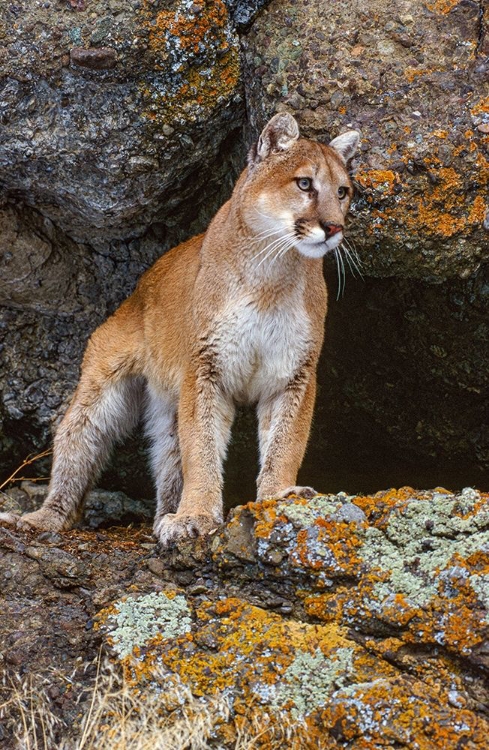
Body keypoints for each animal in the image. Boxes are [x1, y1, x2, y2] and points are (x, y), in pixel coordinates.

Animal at [0, 113, 358, 548]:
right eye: (305, 183)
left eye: (342, 191)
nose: (334, 227)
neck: (271, 274)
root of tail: (139, 287)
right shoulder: (205, 368)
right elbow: (201, 447)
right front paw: (197, 516)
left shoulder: (293, 373)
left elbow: (285, 441)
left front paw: (278, 496)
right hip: (101, 392)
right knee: (77, 442)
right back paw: (43, 518)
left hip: (167, 407)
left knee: (169, 458)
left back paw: (162, 516)